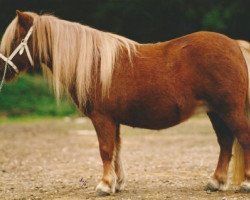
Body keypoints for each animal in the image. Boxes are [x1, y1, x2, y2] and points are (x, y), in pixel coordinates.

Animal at [0, 10, 250, 195]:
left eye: (16, 39)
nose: (2, 70)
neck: (96, 63)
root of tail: (235, 45)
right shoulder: (114, 120)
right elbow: (117, 150)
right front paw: (117, 183)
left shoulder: (102, 118)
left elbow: (105, 150)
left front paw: (104, 185)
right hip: (215, 112)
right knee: (225, 142)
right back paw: (216, 182)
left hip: (229, 110)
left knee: (242, 138)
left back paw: (245, 183)